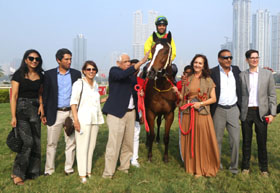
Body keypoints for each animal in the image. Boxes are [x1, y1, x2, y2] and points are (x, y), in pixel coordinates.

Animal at [144, 31, 177, 163]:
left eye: (166, 51)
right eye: (152, 50)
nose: (151, 72)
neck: (162, 87)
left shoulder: (169, 114)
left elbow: (166, 137)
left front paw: (166, 157)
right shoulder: (150, 111)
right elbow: (151, 133)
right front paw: (149, 156)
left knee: (158, 123)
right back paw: (147, 142)